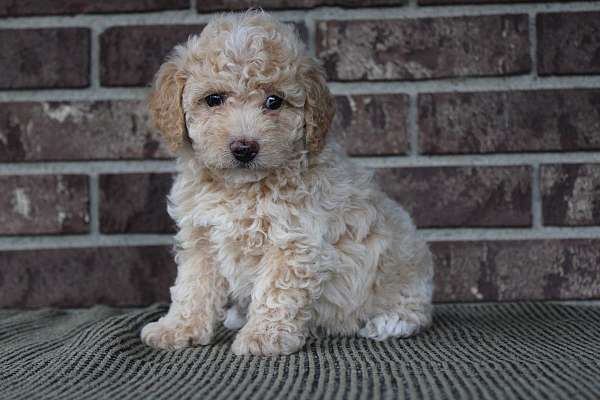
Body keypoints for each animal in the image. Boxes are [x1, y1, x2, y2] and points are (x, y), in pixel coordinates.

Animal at [141, 10, 432, 354]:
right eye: (213, 99)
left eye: (273, 101)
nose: (244, 147)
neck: (241, 188)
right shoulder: (202, 238)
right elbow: (193, 286)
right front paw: (178, 327)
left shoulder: (294, 240)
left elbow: (275, 293)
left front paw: (263, 337)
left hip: (406, 275)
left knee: (414, 310)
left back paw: (389, 321)